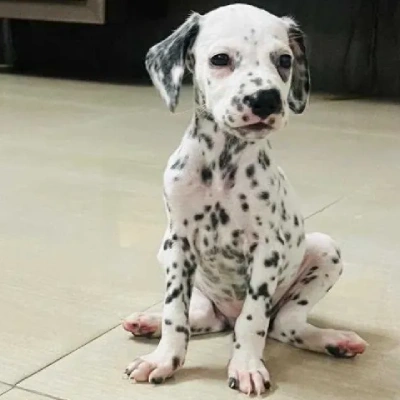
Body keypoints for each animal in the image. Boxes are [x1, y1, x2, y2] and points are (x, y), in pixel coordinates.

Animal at [123, 3, 368, 396]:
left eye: (284, 60)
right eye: (220, 59)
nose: (266, 99)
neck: (222, 166)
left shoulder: (267, 250)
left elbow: (253, 321)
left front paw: (247, 366)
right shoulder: (179, 245)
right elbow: (176, 313)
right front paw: (163, 359)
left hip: (323, 249)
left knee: (283, 325)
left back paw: (335, 341)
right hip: (169, 255)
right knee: (203, 316)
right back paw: (149, 322)